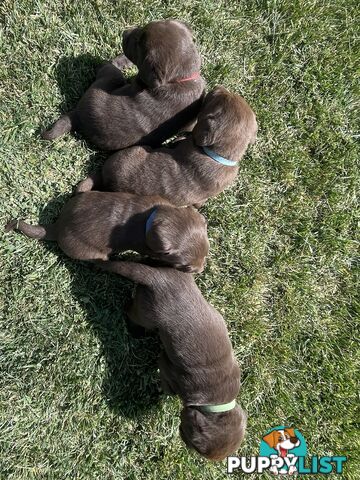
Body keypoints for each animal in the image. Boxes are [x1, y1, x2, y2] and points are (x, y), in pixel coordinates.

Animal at [4, 192, 208, 274]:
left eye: (207, 253)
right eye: (184, 266)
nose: (200, 270)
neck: (150, 218)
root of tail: (57, 226)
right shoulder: (144, 248)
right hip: (91, 252)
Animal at [40, 19, 204, 150]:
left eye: (138, 42)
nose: (124, 33)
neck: (181, 79)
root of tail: (78, 116)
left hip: (109, 79)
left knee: (110, 67)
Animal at [95, 258, 248, 462]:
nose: (184, 441)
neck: (217, 399)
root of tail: (156, 278)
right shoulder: (167, 365)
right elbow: (168, 383)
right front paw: (167, 392)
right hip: (146, 313)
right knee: (130, 311)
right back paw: (135, 330)